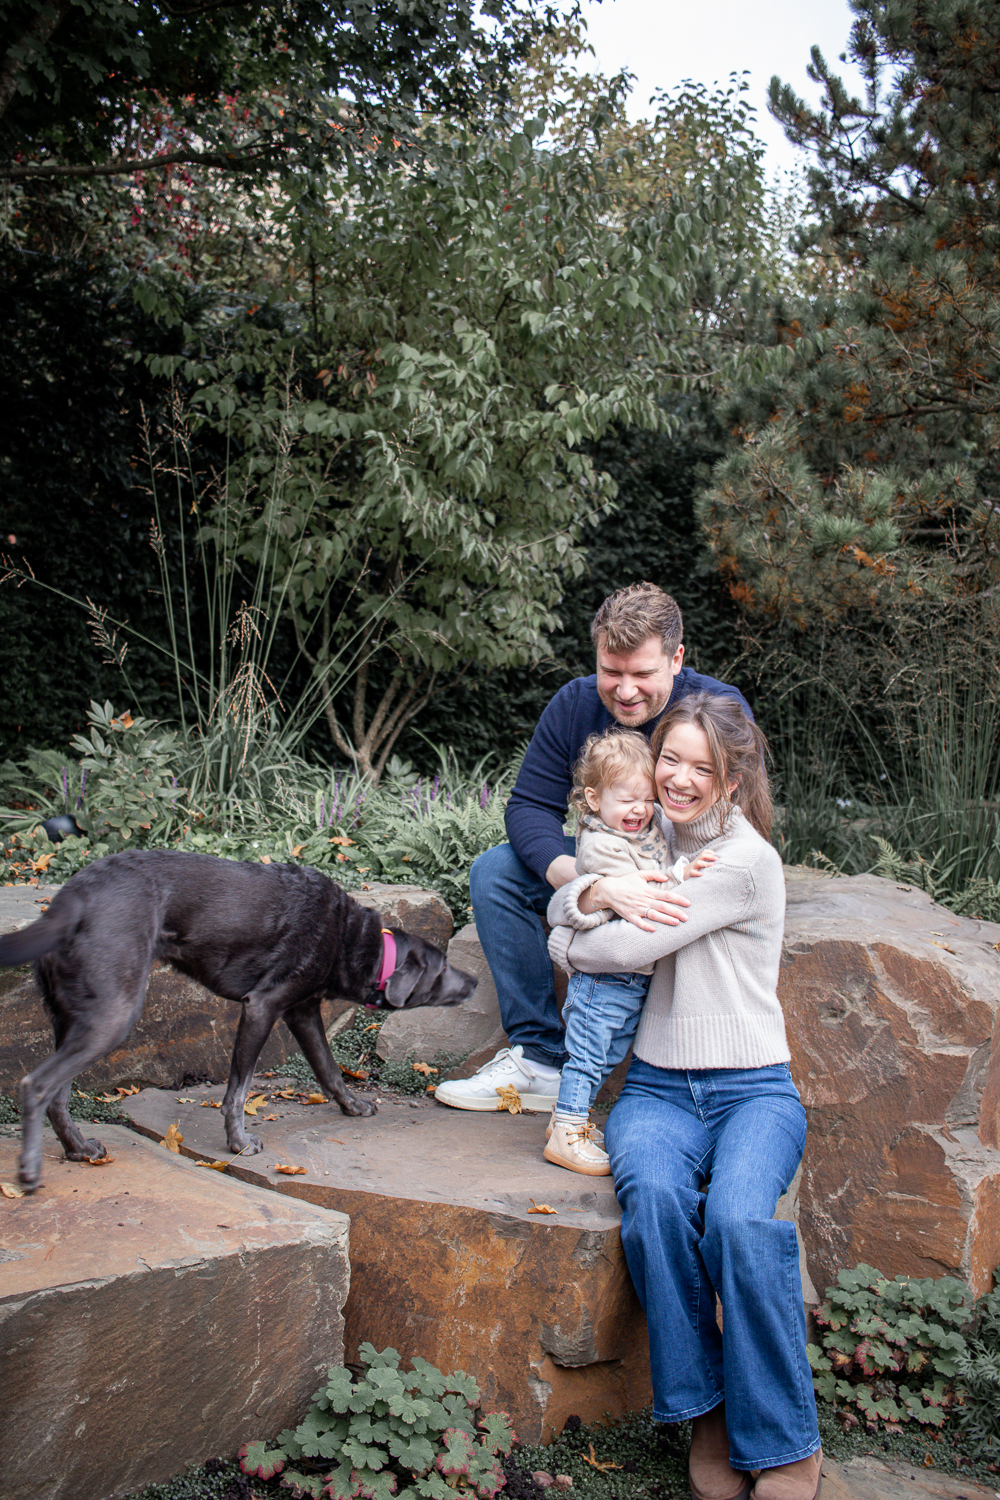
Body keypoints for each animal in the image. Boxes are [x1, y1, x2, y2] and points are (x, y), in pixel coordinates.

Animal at [0, 850, 477, 1191]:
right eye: (443, 968)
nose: (473, 980)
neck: (352, 938)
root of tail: (71, 897)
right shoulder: (261, 1007)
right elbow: (238, 1090)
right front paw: (239, 1143)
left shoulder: (302, 1012)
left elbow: (328, 1069)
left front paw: (353, 1106)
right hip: (112, 1015)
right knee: (36, 1085)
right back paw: (30, 1171)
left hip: (74, 1020)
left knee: (57, 1095)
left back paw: (79, 1150)